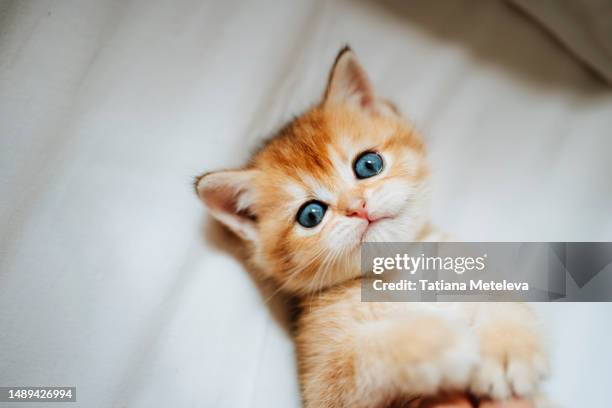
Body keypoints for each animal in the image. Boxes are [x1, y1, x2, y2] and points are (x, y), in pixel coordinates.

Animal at [196, 48, 548, 408]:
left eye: (368, 164)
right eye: (311, 215)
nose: (358, 207)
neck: (400, 270)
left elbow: (504, 300)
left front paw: (506, 347)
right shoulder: (319, 383)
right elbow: (359, 359)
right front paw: (436, 341)